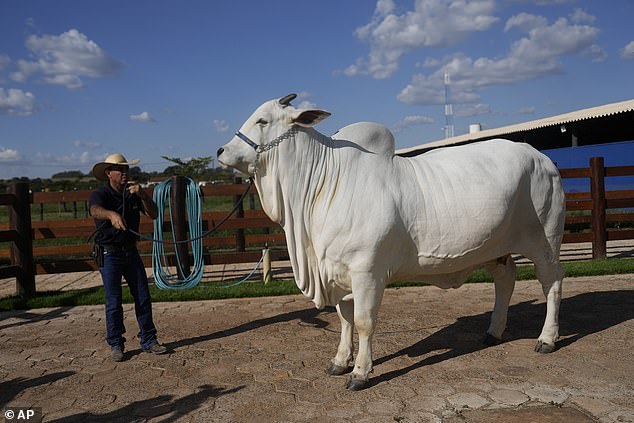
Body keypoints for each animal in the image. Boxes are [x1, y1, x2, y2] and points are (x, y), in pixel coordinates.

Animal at [217, 94, 564, 392]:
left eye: (262, 120)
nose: (220, 151)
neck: (322, 187)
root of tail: (543, 159)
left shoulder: (367, 272)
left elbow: (363, 322)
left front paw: (360, 372)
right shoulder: (339, 272)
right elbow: (344, 319)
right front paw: (340, 361)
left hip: (545, 243)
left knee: (552, 284)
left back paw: (547, 339)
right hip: (498, 249)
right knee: (506, 280)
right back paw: (493, 331)